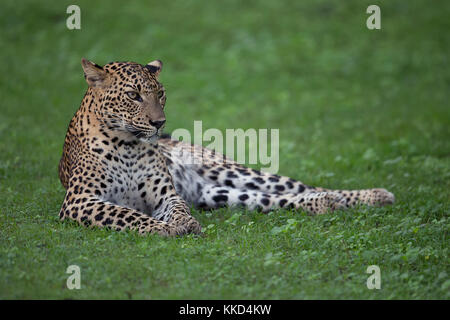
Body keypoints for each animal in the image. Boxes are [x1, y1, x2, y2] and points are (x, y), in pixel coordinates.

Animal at [58, 58, 396, 236]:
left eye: (161, 93)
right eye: (133, 95)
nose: (159, 122)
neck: (127, 143)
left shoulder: (167, 196)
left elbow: (176, 209)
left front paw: (184, 223)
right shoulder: (79, 201)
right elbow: (125, 214)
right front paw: (162, 228)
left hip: (233, 172)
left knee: (304, 187)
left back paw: (372, 196)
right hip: (218, 194)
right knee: (280, 199)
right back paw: (326, 204)